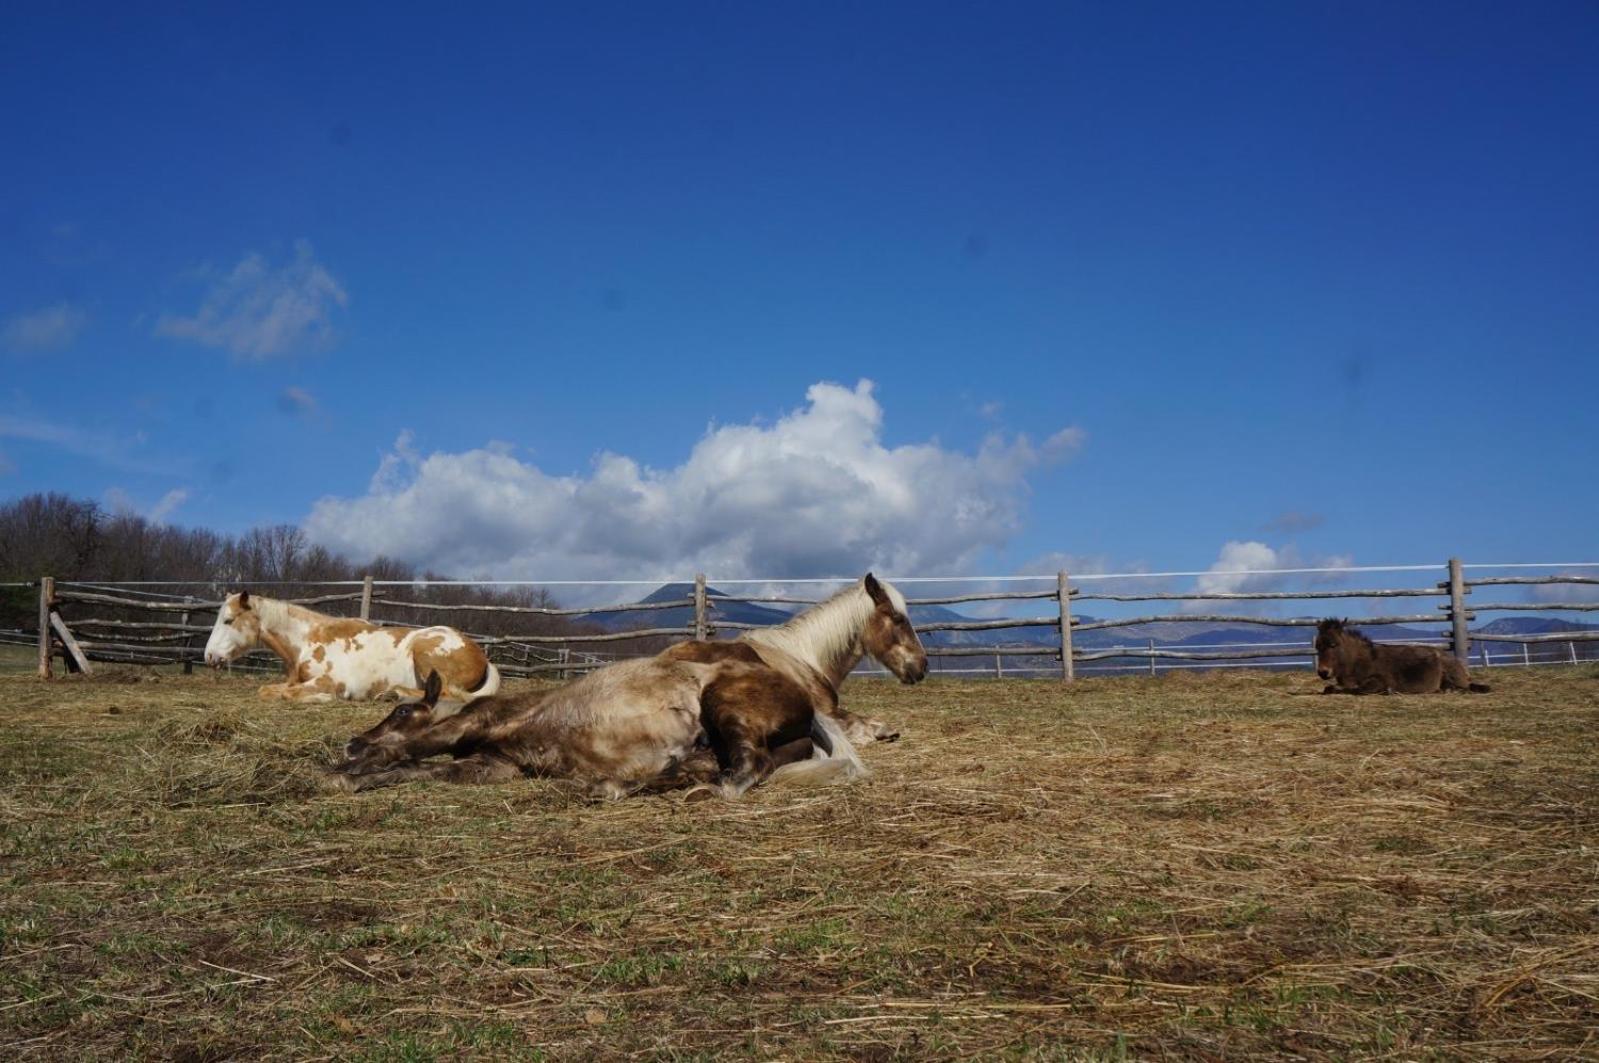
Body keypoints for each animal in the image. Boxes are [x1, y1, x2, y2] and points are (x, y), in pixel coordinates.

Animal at [203, 588, 498, 703]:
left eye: (228, 620)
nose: (209, 656)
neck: (308, 641)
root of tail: (481, 656)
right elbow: (267, 690)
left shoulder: (331, 681)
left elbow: (292, 694)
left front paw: (323, 698)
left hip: (424, 651)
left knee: (447, 694)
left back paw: (393, 694)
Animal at [334, 572, 927, 796]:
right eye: (898, 619)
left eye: (401, 710)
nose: (350, 744)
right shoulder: (492, 764)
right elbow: (424, 769)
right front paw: (357, 772)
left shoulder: (476, 728)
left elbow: (416, 753)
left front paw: (355, 771)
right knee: (720, 768)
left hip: (725, 706)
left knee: (743, 770)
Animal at [1317, 613, 1490, 696]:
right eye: (1318, 646)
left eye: (1334, 645)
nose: (1323, 672)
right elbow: (1329, 688)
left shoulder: (1380, 680)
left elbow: (1360, 689)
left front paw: (1388, 691)